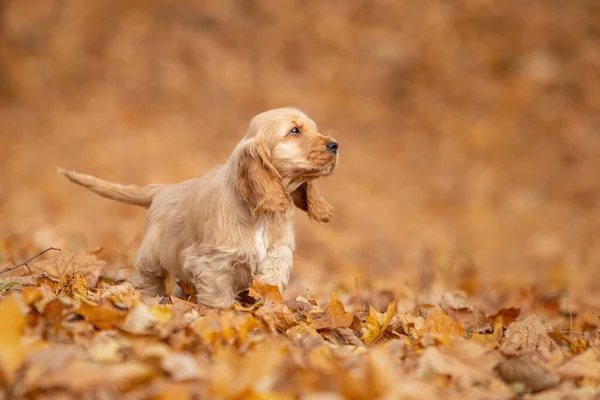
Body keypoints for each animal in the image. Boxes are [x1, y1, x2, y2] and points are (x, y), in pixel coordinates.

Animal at [62, 108, 342, 308]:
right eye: (294, 131)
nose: (335, 145)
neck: (258, 213)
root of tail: (161, 190)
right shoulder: (211, 260)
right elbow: (219, 294)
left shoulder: (279, 244)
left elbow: (278, 258)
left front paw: (268, 285)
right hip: (153, 255)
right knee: (148, 278)